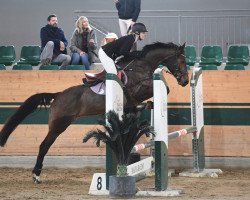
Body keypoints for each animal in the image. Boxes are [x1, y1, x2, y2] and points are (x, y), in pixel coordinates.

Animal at [0, 41, 188, 183]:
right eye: (182, 61)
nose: (185, 81)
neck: (142, 66)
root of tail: (58, 95)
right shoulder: (138, 89)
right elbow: (165, 89)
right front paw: (145, 105)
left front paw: (141, 108)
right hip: (59, 125)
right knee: (44, 145)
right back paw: (36, 175)